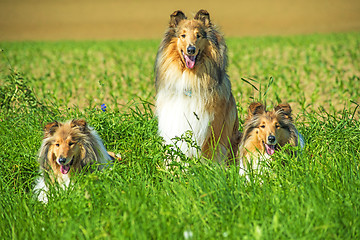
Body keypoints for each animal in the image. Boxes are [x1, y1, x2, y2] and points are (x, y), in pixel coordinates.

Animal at [154, 8, 240, 163]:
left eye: (198, 36)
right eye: (183, 35)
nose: (191, 50)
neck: (191, 78)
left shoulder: (212, 128)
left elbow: (210, 155)